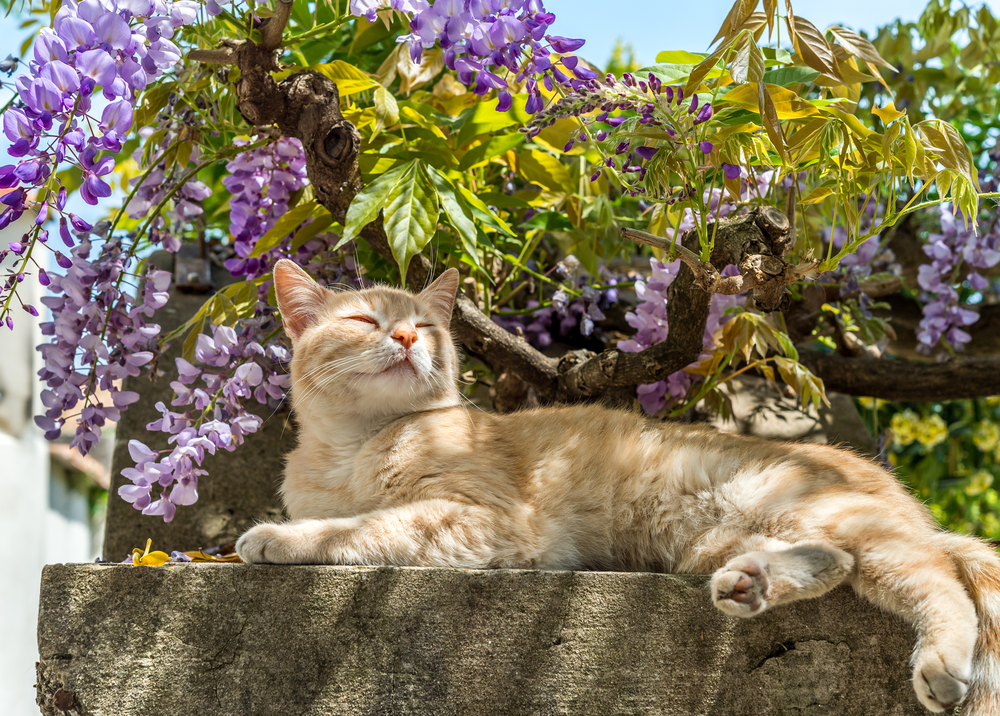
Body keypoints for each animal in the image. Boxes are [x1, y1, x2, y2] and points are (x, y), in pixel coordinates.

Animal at [236, 258, 1000, 716]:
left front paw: (276, 537)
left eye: (423, 325)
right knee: (838, 564)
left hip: (823, 513)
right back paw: (750, 584)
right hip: (738, 536)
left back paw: (941, 664)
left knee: (937, 577)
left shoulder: (485, 519)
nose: (403, 337)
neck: (353, 449)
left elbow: (365, 526)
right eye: (364, 320)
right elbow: (358, 519)